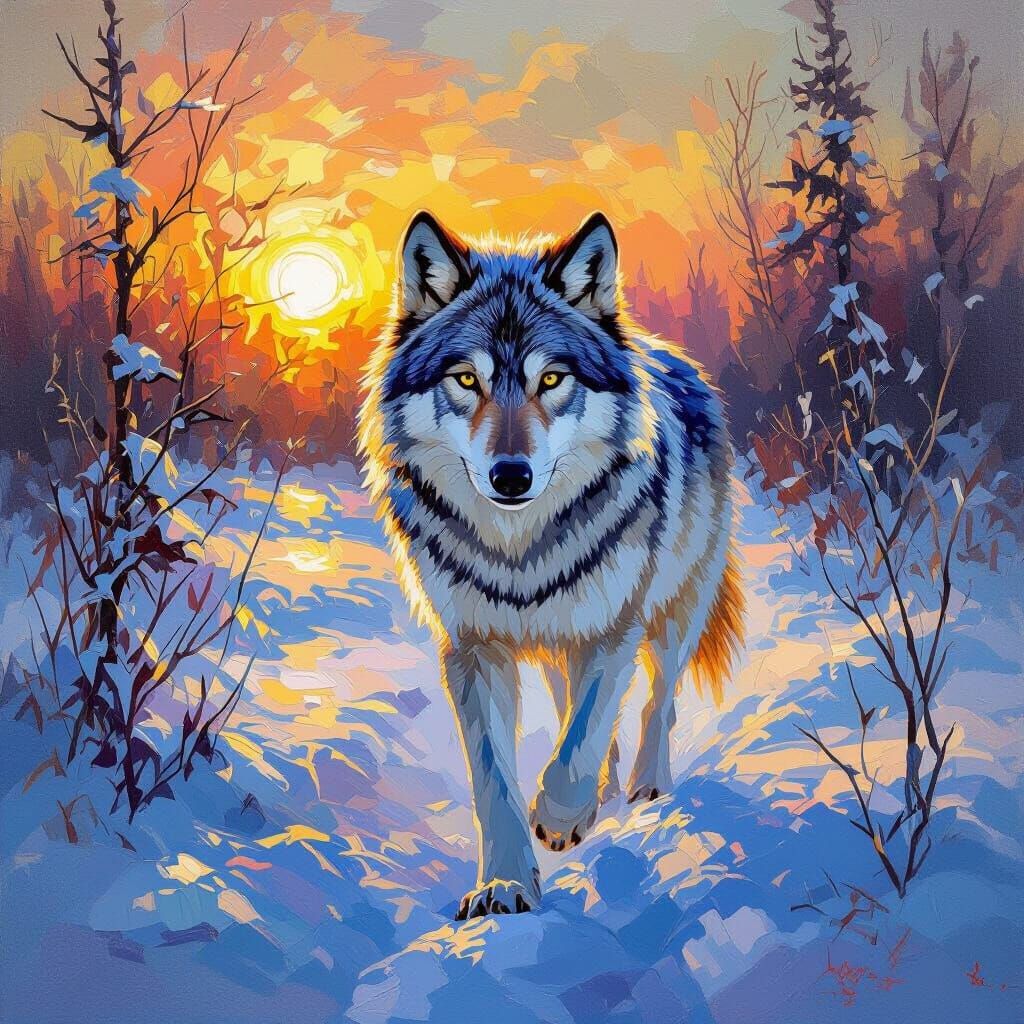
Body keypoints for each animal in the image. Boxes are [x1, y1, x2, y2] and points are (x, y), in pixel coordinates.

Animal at [358, 211, 743, 919]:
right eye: (467, 380)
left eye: (552, 379)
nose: (511, 476)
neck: (519, 552)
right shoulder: (473, 648)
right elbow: (496, 780)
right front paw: (504, 885)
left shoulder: (613, 629)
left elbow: (582, 739)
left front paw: (560, 817)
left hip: (672, 612)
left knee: (657, 702)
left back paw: (645, 790)